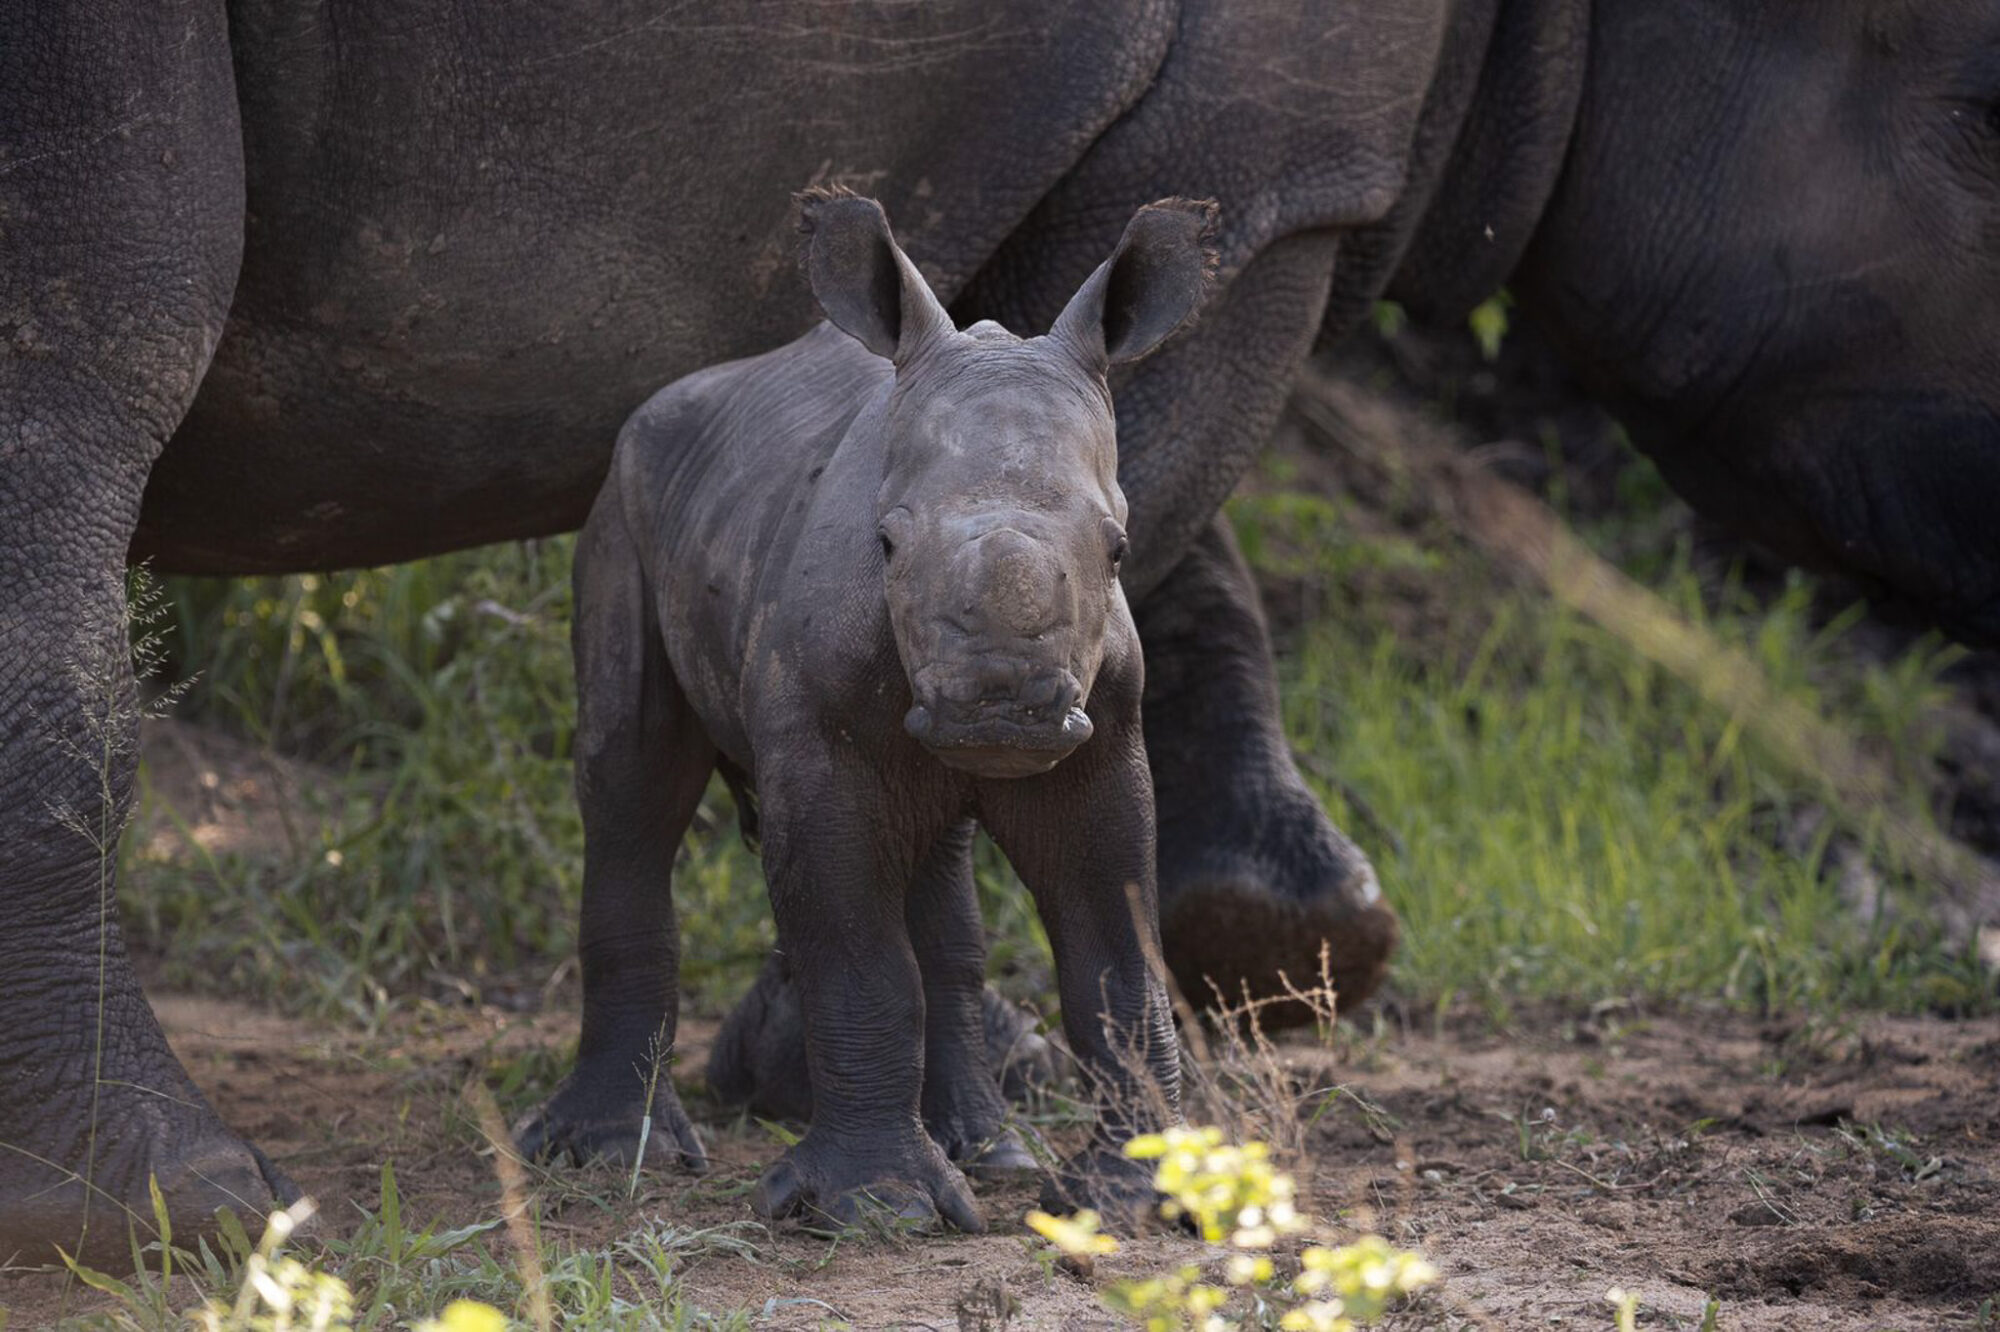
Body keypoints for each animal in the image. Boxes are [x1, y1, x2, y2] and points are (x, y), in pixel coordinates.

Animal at [5, 0, 1998, 1264]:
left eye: (1085, 560)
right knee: (93, 360)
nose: (997, 703)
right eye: (1989, 129)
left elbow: (1151, 531)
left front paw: (1186, 1082)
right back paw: (185, 1215)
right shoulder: (1277, 162)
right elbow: (1182, 474)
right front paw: (863, 1147)